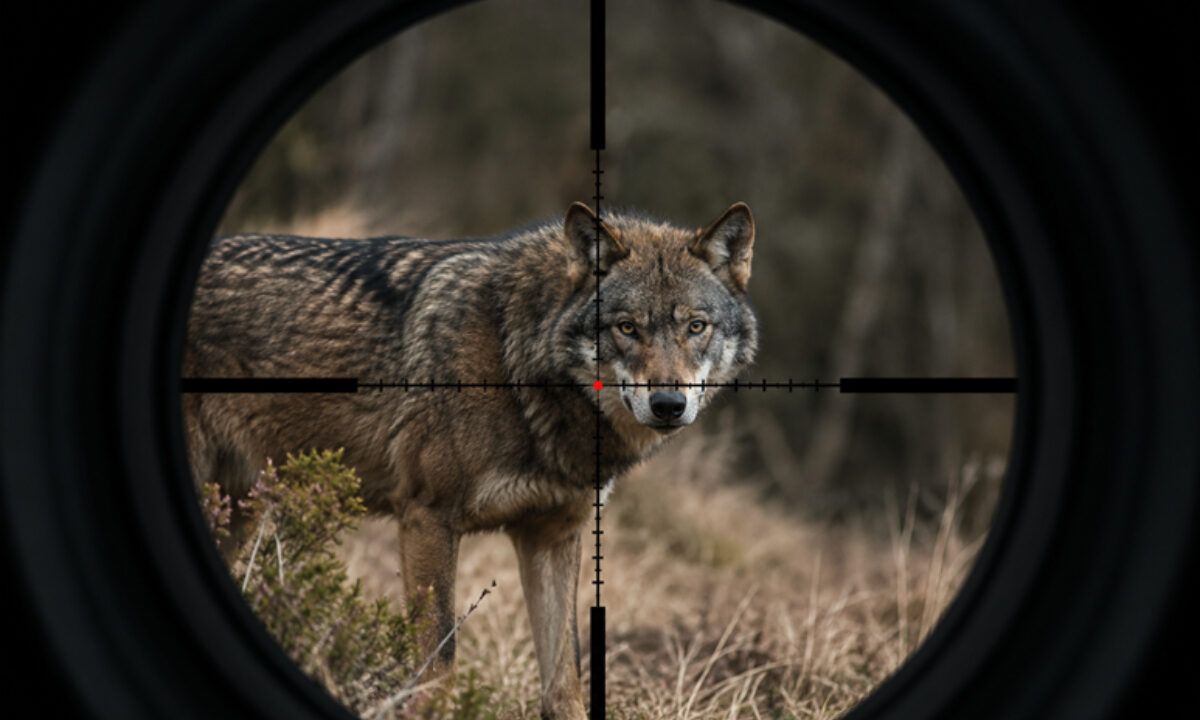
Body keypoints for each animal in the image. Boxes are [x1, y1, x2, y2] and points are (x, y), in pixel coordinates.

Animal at [183, 201, 758, 719]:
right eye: (627, 327)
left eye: (696, 327)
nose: (669, 404)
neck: (515, 364)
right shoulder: (426, 519)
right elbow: (440, 665)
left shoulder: (553, 534)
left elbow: (564, 683)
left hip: (238, 512)